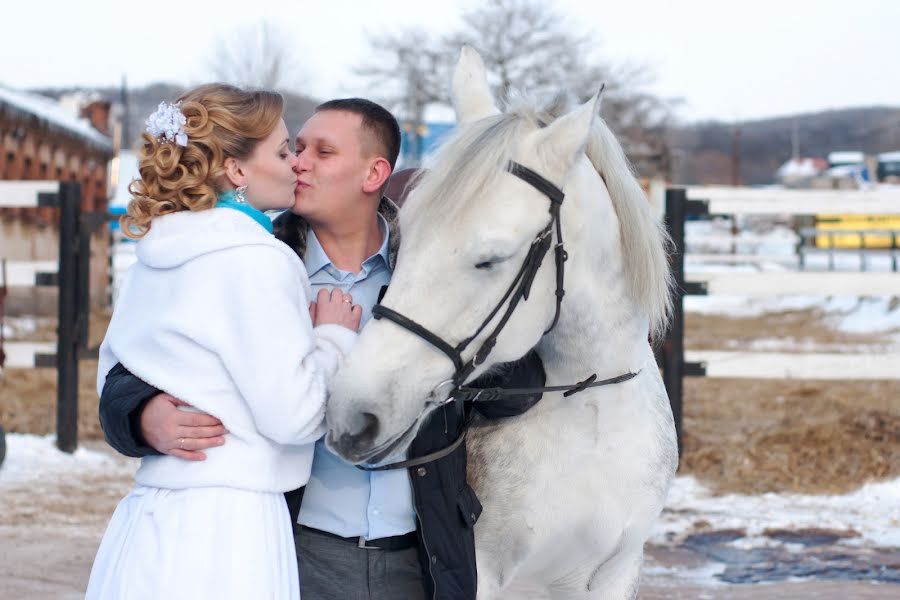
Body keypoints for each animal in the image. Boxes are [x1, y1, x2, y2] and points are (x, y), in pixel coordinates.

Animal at [324, 48, 676, 600]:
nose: (351, 414)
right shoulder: (484, 574)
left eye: (490, 260)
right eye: (401, 239)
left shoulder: (618, 569)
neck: (590, 404)